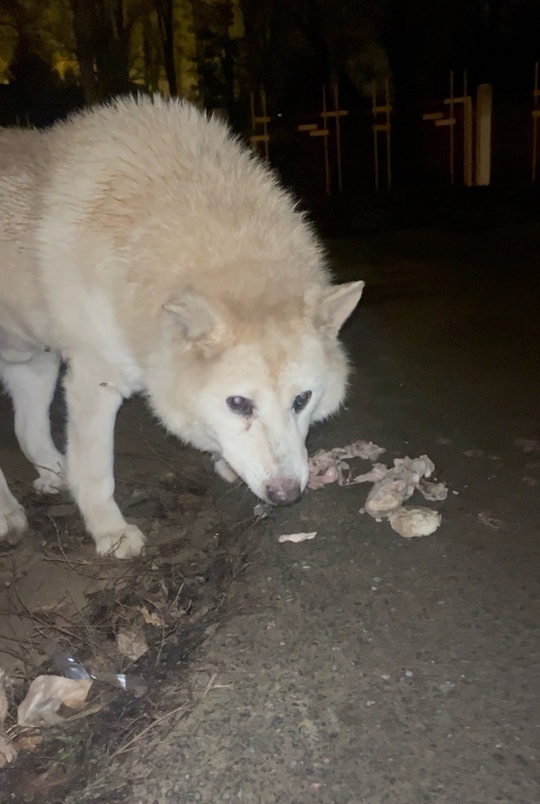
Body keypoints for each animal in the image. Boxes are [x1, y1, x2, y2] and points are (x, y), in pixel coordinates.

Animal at [1, 96, 362, 560]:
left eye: (302, 400)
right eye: (238, 404)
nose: (286, 496)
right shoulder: (94, 382)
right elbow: (97, 472)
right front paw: (110, 533)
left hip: (35, 363)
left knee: (27, 431)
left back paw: (53, 477)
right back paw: (8, 513)